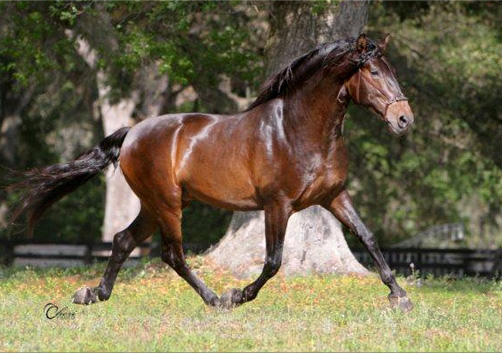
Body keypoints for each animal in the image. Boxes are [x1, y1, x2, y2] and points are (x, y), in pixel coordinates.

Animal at [9, 34, 414, 310]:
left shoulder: (334, 196)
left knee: (124, 240)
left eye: (393, 72)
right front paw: (239, 294)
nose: (404, 119)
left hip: (155, 205)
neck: (297, 129)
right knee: (173, 255)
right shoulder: (277, 205)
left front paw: (400, 295)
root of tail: (132, 133)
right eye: (373, 72)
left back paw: (93, 293)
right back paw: (216, 299)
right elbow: (273, 261)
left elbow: (368, 238)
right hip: (168, 204)